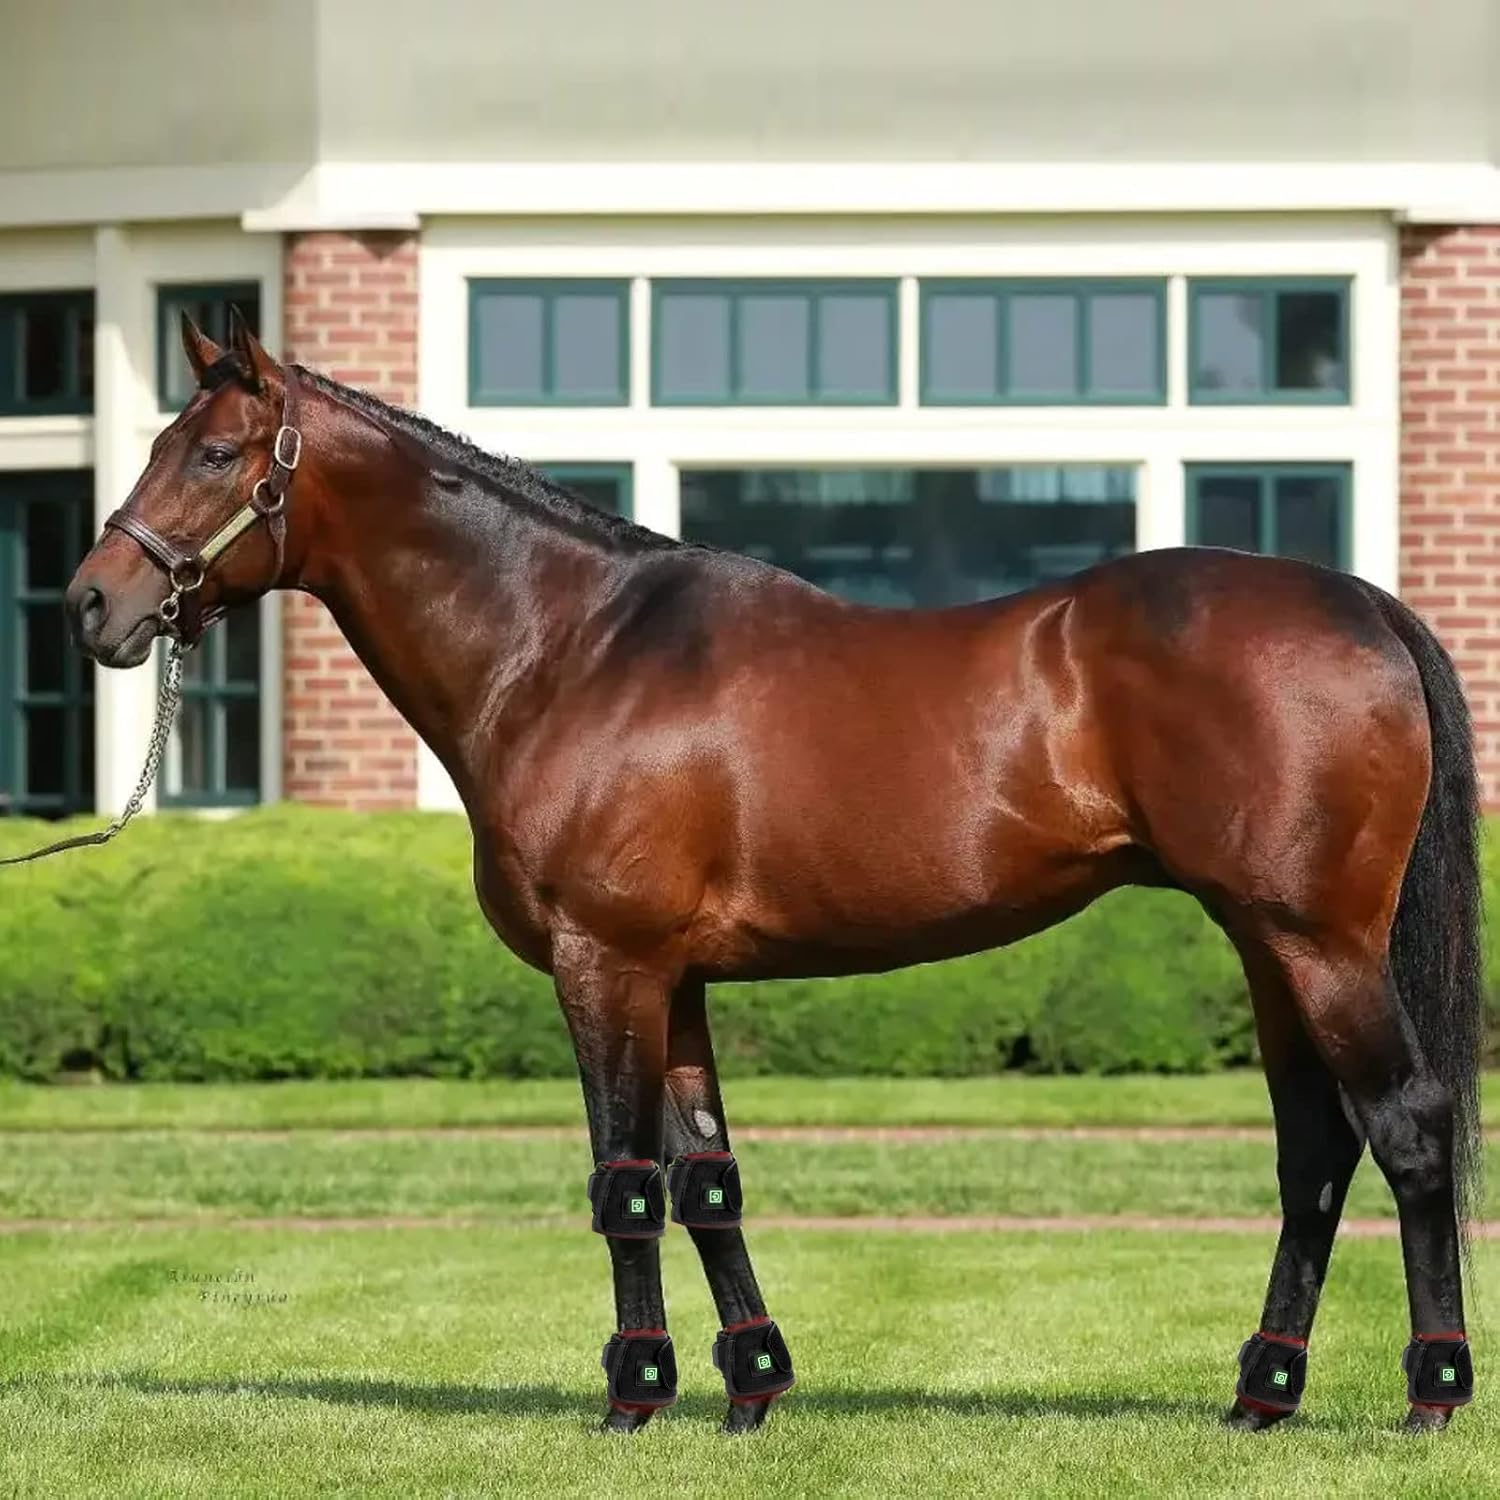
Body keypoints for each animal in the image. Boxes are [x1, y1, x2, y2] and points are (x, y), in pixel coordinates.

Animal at [64, 311, 1482, 1435]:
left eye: (211, 452)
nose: (91, 604)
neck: (569, 649)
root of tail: (1362, 605)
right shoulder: (676, 979)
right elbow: (706, 1180)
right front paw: (751, 1389)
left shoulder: (605, 966)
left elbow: (624, 1186)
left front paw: (633, 1398)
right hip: (1267, 946)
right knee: (1314, 1151)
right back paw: (1261, 1395)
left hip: (1320, 943)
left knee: (1407, 1129)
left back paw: (1429, 1395)